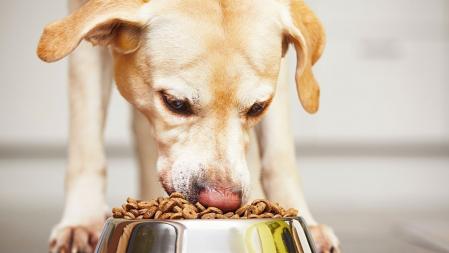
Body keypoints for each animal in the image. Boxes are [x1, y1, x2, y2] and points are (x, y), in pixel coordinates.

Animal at [37, 0, 340, 252]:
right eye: (175, 103)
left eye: (258, 107)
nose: (222, 201)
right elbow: (86, 143)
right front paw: (82, 221)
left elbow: (280, 156)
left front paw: (304, 218)